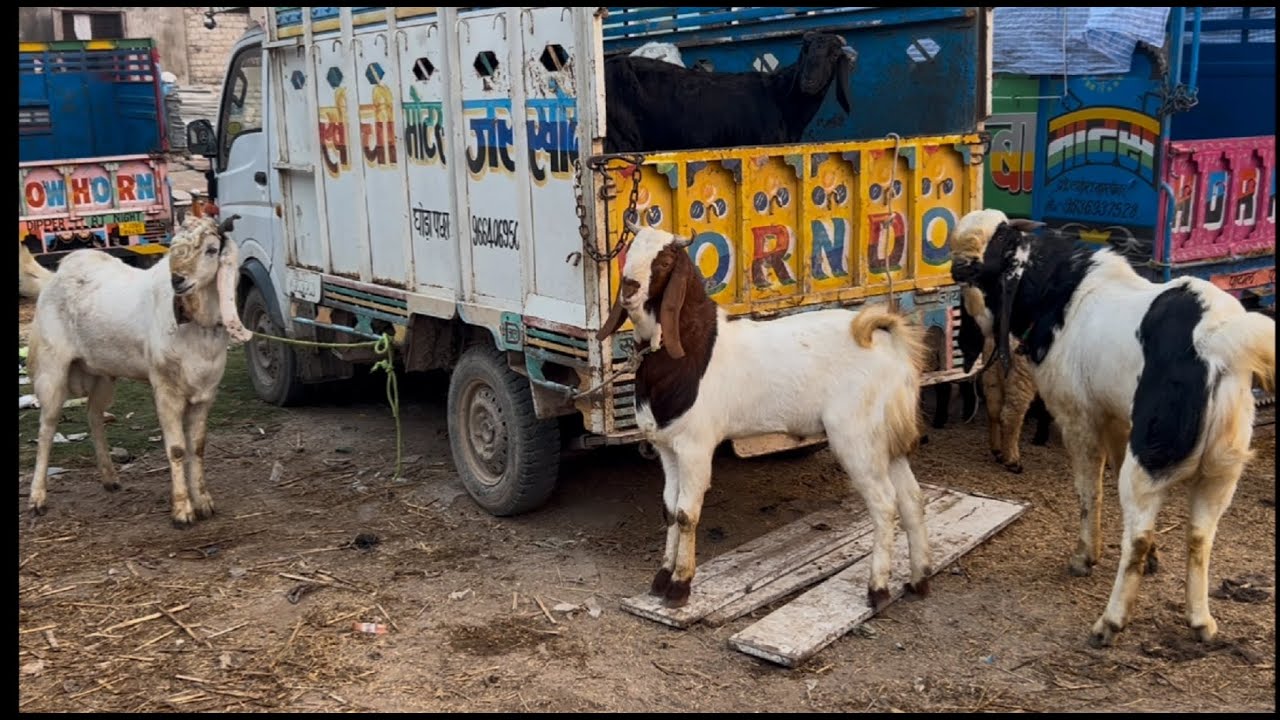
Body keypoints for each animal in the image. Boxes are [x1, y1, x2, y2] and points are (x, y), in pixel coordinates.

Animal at [19, 202, 252, 528]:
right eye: (174, 247)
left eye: (211, 249)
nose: (178, 280)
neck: (196, 323)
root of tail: (52, 278)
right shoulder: (165, 388)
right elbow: (178, 449)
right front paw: (182, 511)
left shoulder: (206, 392)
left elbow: (198, 446)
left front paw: (204, 502)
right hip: (52, 368)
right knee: (47, 428)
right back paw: (37, 498)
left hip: (102, 373)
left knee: (94, 415)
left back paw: (110, 478)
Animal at [596, 222, 932, 611]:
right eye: (630, 250)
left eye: (664, 260)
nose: (628, 289)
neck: (690, 349)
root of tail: (887, 340)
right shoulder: (667, 448)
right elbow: (669, 508)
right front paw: (662, 578)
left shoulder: (696, 446)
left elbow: (686, 513)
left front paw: (680, 586)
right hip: (888, 441)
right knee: (911, 498)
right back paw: (919, 579)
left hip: (858, 439)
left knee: (884, 503)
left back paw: (877, 589)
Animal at [951, 221, 1276, 648]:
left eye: (975, 265)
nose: (953, 272)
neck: (1064, 294)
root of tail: (1214, 340)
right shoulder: (1119, 420)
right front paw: (1153, 561)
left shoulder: (1078, 419)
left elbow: (1088, 490)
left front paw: (1084, 557)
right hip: (1222, 469)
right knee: (1200, 536)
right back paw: (1200, 620)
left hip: (1150, 462)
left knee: (1138, 535)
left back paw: (1111, 621)